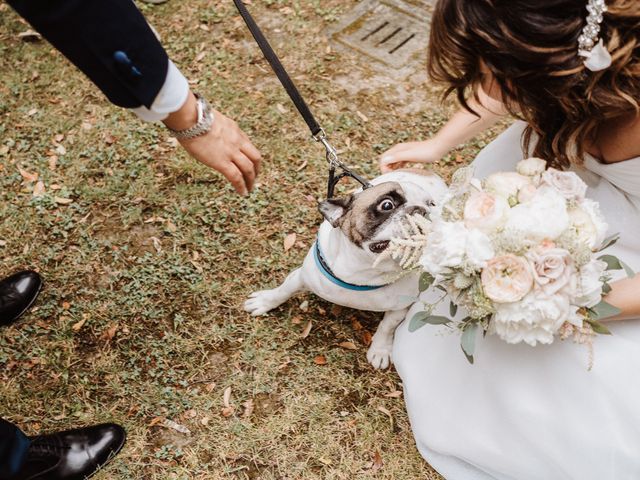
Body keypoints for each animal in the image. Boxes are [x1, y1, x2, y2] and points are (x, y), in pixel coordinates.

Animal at [242, 171, 448, 370]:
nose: (423, 210)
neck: (365, 271)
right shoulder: (302, 277)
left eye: (432, 204)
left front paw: (380, 350)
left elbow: (387, 326)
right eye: (387, 205)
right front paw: (264, 301)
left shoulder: (400, 307)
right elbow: (283, 290)